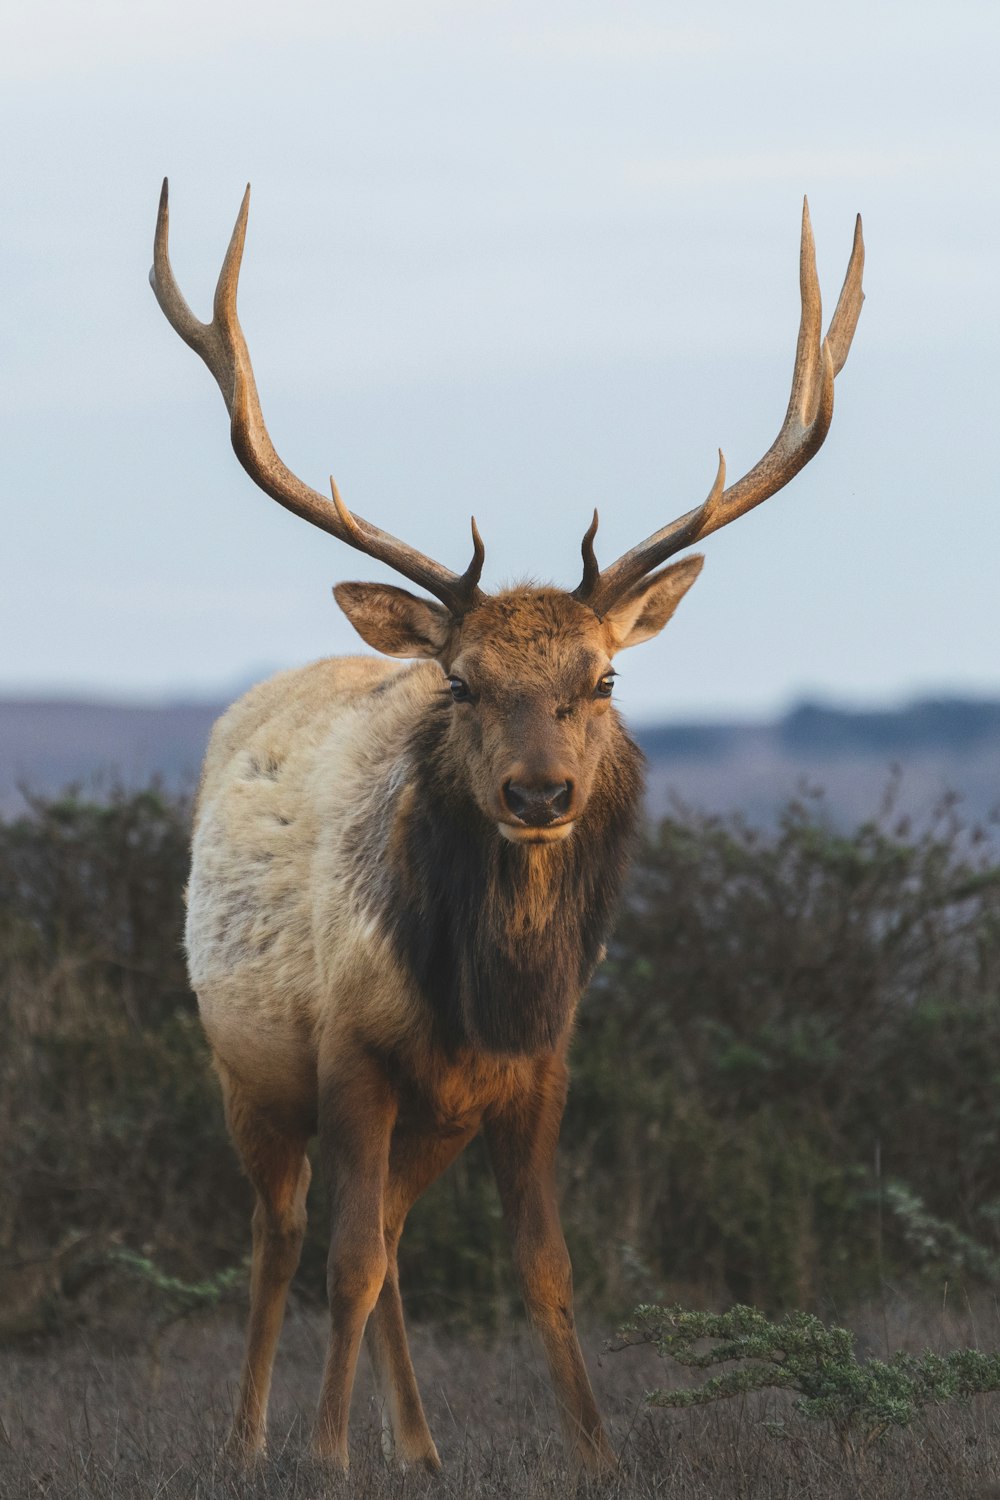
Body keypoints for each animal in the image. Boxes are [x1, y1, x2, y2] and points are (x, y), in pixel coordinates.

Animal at [150, 178, 869, 1476]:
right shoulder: (352, 1053)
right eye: (463, 683)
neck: (483, 992)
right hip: (249, 1069)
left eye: (602, 678)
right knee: (285, 1236)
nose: (540, 795)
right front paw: (323, 1459)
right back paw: (249, 1442)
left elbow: (542, 1268)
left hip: (433, 1118)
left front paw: (596, 1456)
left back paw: (421, 1449)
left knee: (387, 1240)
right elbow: (343, 1261)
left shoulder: (536, 1073)